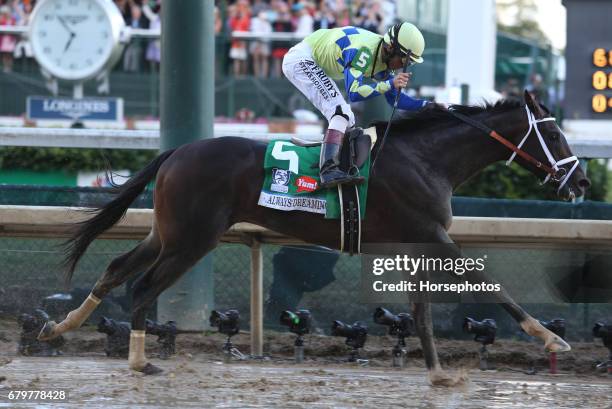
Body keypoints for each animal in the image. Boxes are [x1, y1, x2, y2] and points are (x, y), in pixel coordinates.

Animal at [37, 91, 588, 380]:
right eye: (553, 133)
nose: (581, 182)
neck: (427, 159)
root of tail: (176, 151)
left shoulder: (417, 243)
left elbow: (421, 311)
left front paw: (436, 372)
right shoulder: (432, 234)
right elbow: (486, 282)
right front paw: (550, 336)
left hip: (168, 232)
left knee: (114, 270)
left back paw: (59, 327)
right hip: (193, 239)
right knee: (142, 286)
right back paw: (138, 361)